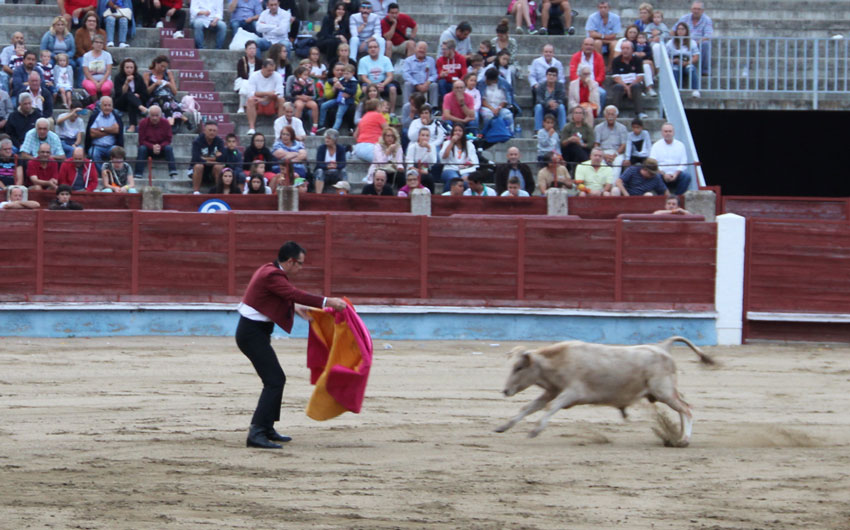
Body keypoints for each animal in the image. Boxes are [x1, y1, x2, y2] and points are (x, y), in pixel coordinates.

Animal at [495, 336, 715, 446]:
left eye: (519, 367)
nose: (505, 391)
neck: (557, 362)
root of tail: (663, 347)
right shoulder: (552, 391)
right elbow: (528, 408)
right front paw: (503, 427)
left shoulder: (572, 392)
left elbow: (550, 408)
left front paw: (535, 430)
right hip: (666, 392)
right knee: (682, 407)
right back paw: (678, 436)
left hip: (664, 391)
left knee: (686, 408)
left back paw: (684, 439)